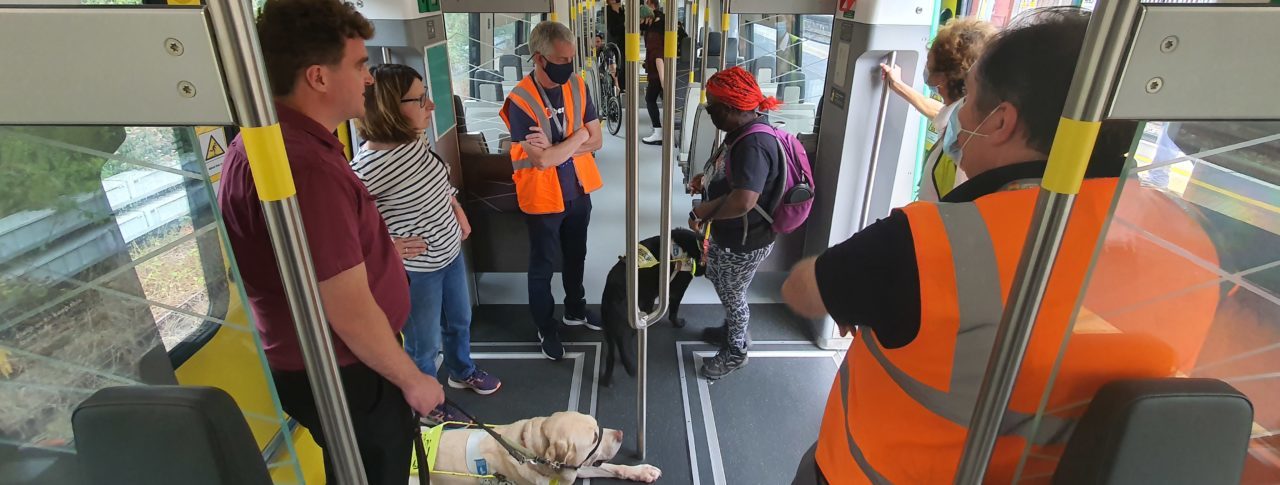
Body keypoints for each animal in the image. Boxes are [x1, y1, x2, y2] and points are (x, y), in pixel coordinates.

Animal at [601, 229, 706, 386]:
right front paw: (677, 323)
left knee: (610, 357)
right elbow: (674, 312)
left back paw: (607, 380)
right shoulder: (677, 291)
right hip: (632, 324)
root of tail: (611, 295)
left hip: (609, 333)